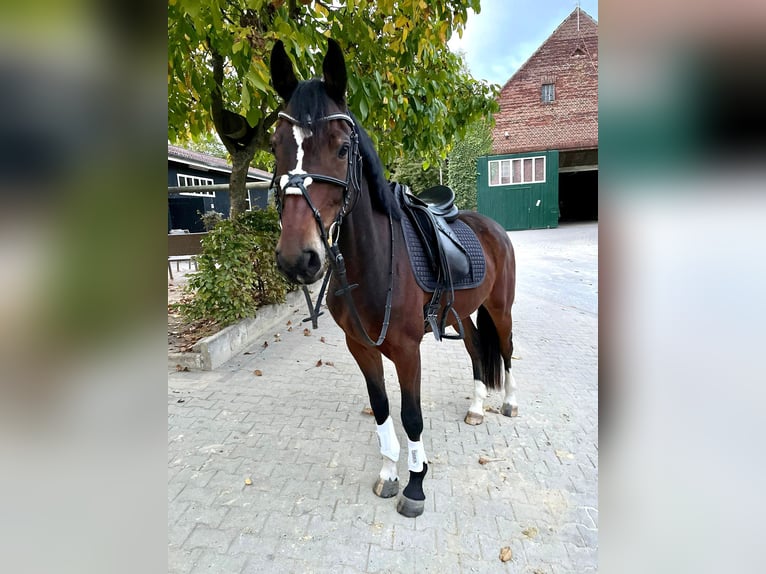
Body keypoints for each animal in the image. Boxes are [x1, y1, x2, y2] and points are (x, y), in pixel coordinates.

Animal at [272, 38, 520, 520]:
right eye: (275, 147)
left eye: (342, 148)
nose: (298, 258)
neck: (373, 262)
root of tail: (494, 227)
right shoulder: (361, 348)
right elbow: (383, 409)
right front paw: (389, 472)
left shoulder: (408, 350)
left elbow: (411, 417)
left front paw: (416, 484)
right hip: (463, 314)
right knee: (477, 351)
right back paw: (477, 407)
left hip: (500, 309)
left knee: (507, 349)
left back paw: (510, 403)